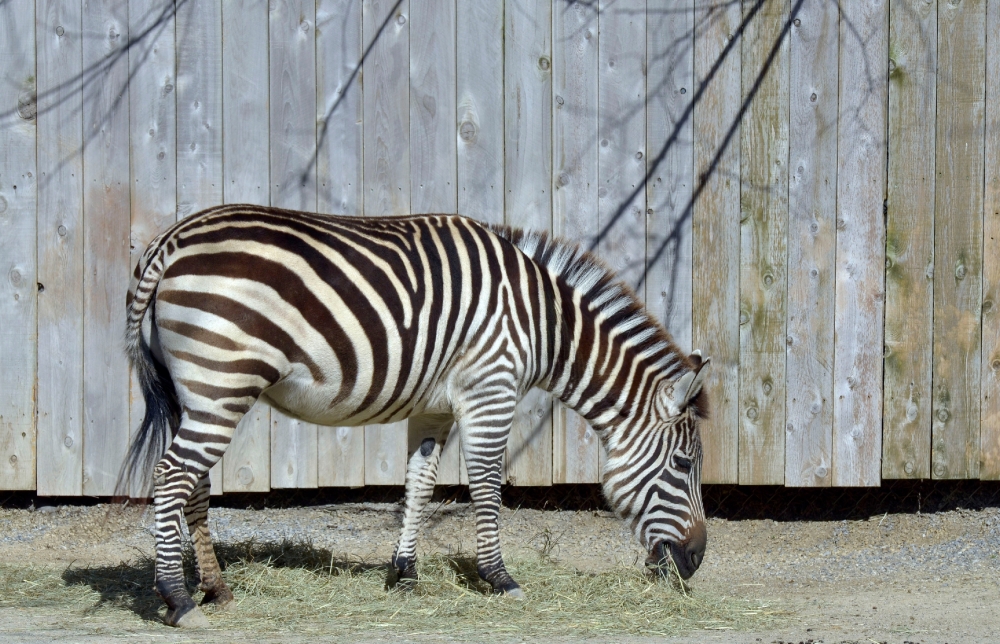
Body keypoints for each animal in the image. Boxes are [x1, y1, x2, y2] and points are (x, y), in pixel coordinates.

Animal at [119, 204, 712, 628]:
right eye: (684, 465)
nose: (697, 561)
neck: (543, 325)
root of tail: (170, 241)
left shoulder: (434, 408)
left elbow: (419, 484)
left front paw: (404, 574)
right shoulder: (490, 389)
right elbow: (487, 484)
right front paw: (500, 578)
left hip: (197, 391)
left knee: (192, 484)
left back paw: (216, 589)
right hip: (222, 381)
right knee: (171, 477)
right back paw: (177, 598)